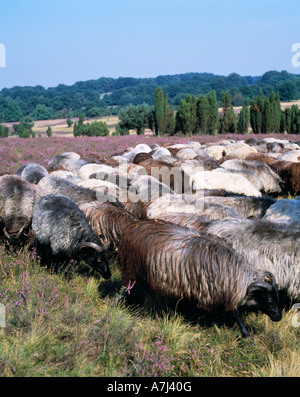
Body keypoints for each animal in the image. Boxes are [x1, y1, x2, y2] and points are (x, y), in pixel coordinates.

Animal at [118, 218, 282, 342]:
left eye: (277, 297)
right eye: (267, 300)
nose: (278, 317)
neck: (234, 273)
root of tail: (131, 227)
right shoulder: (212, 291)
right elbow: (235, 313)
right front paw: (248, 337)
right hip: (130, 269)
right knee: (127, 290)